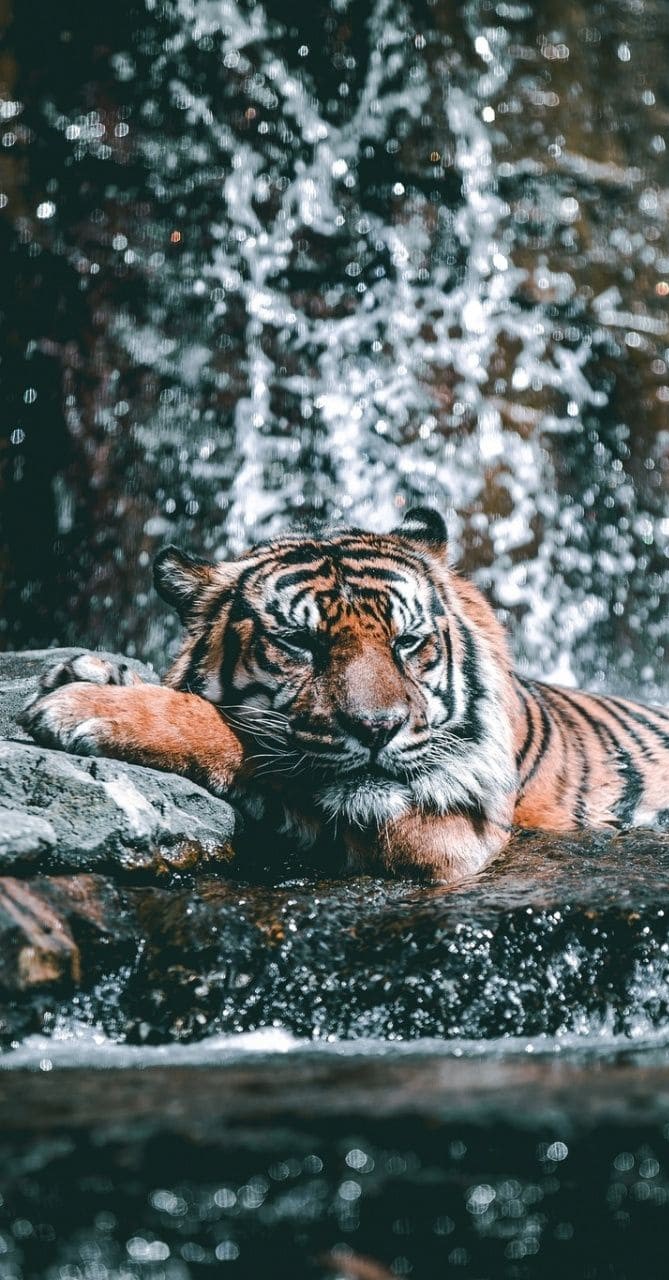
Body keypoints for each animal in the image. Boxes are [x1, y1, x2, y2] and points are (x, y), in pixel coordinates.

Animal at [19, 507, 669, 882]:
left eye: (408, 642)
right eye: (300, 642)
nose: (377, 729)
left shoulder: (455, 825)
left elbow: (246, 740)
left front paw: (89, 705)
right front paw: (95, 671)